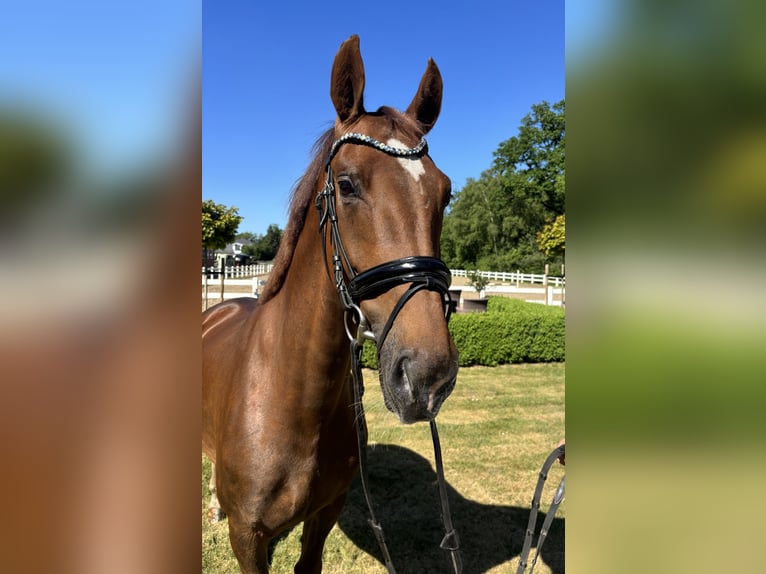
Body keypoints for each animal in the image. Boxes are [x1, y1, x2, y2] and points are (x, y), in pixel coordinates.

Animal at [202, 35, 458, 574]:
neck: (293, 398)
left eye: (445, 193)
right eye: (346, 184)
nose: (428, 375)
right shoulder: (247, 539)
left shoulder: (324, 515)